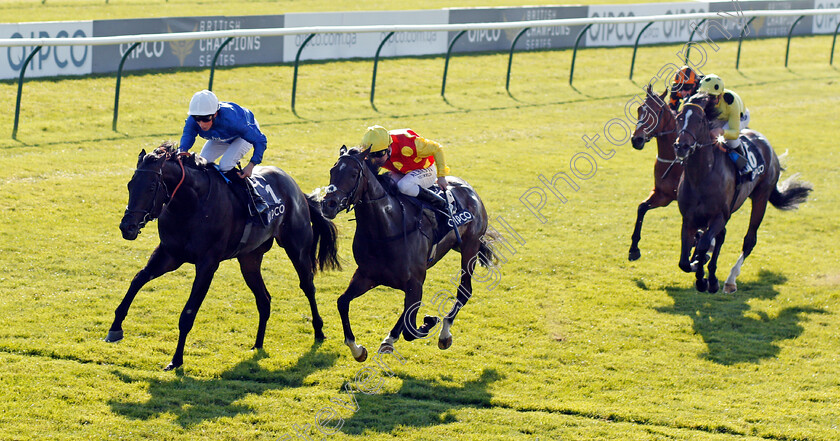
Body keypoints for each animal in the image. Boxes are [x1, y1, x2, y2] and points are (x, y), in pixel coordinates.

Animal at [112, 143, 342, 370]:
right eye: (130, 185)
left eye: (151, 187)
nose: (127, 227)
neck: (191, 205)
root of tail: (296, 188)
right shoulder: (170, 254)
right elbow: (138, 279)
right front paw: (115, 328)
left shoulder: (207, 264)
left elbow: (188, 313)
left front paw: (176, 360)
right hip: (249, 259)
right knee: (264, 299)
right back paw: (257, 344)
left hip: (297, 248)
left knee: (308, 286)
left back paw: (319, 331)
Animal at [318, 146, 496, 360]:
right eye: (332, 171)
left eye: (353, 174)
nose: (327, 204)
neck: (385, 230)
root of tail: (469, 189)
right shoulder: (366, 276)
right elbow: (343, 302)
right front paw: (358, 349)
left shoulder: (415, 282)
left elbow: (410, 329)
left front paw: (428, 321)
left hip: (470, 248)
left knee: (464, 291)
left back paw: (444, 333)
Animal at [628, 84, 684, 260]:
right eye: (639, 108)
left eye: (658, 111)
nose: (636, 139)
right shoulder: (663, 195)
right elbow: (641, 208)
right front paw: (634, 248)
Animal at [672, 93, 812, 292]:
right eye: (679, 118)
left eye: (699, 120)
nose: (681, 146)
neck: (702, 175)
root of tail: (767, 144)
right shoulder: (689, 219)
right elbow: (685, 260)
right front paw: (700, 268)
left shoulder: (718, 216)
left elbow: (703, 244)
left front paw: (702, 278)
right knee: (720, 237)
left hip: (761, 197)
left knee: (749, 240)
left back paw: (730, 279)